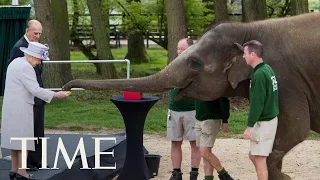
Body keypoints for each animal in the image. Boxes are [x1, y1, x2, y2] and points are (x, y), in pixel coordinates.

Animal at [63, 13, 320, 180]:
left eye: (194, 62)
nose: (67, 87)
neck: (248, 28)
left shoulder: (286, 79)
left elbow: (295, 130)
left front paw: (284, 177)